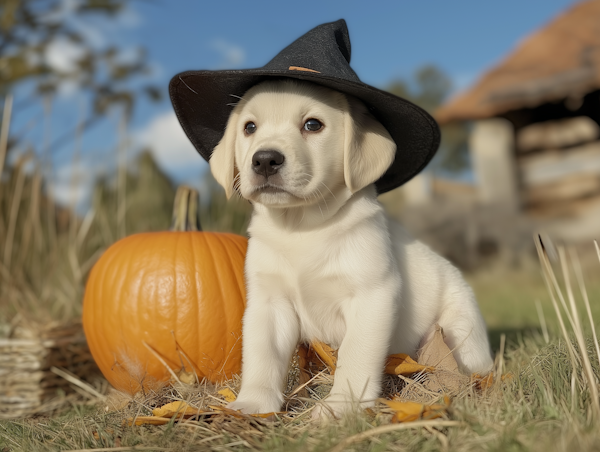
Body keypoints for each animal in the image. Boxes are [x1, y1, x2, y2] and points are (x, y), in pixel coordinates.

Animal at [211, 79, 492, 418]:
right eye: (249, 127)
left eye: (313, 125)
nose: (265, 159)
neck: (301, 228)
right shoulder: (270, 303)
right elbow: (262, 355)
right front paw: (253, 403)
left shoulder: (371, 296)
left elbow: (355, 354)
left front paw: (342, 404)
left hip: (461, 329)